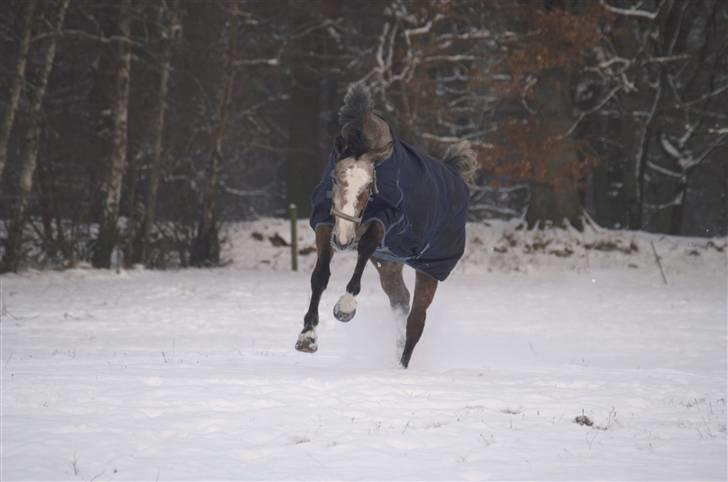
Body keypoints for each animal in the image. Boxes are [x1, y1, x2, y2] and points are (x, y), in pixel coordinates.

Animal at [292, 84, 474, 370]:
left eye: (368, 186)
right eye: (335, 178)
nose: (344, 241)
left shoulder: (385, 220)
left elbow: (364, 249)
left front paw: (345, 308)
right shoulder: (325, 223)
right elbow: (320, 276)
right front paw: (307, 337)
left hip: (431, 269)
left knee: (416, 320)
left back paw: (401, 368)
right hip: (389, 264)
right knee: (401, 302)